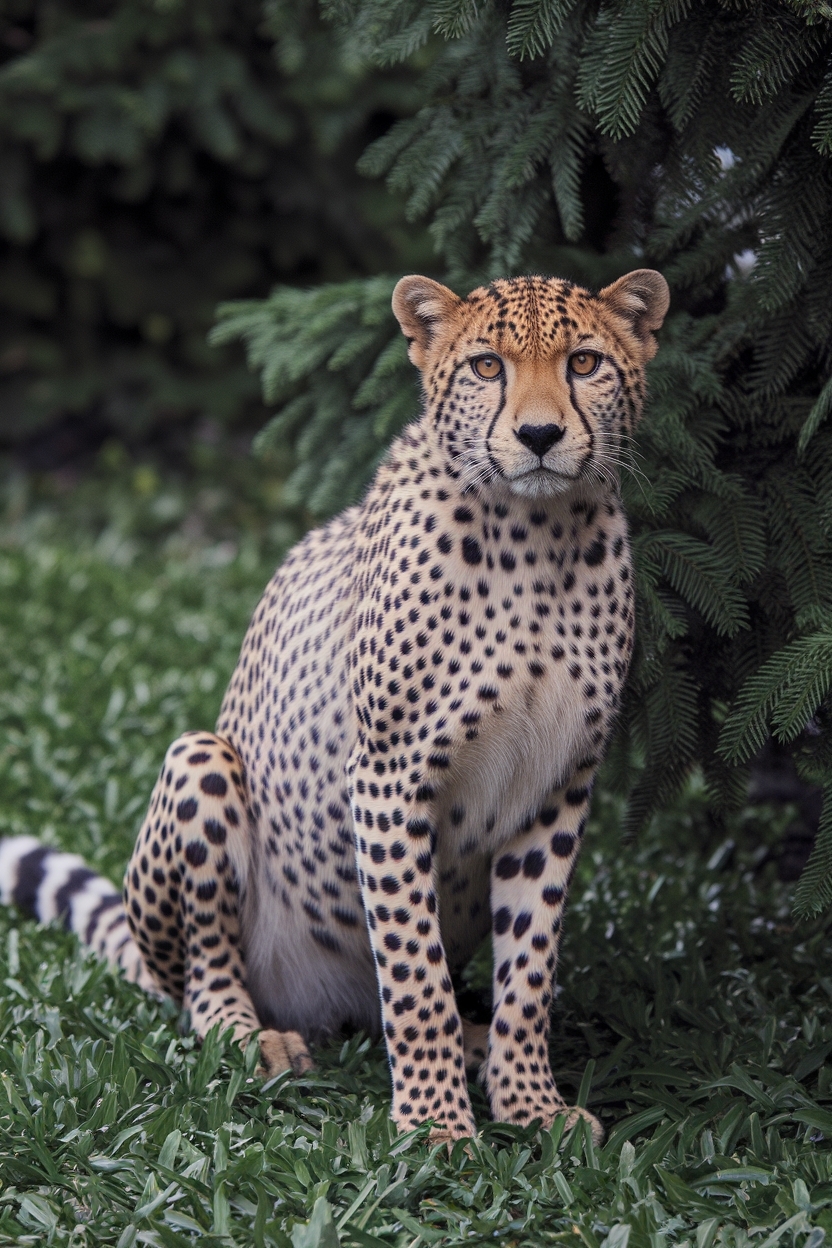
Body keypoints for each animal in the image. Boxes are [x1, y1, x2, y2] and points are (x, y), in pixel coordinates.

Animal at [0, 267, 669, 1145]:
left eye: (584, 362)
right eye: (487, 366)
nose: (538, 435)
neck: (539, 537)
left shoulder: (557, 787)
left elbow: (530, 966)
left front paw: (529, 1104)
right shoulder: (389, 775)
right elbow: (414, 972)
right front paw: (436, 1125)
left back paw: (478, 1040)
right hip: (201, 763)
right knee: (204, 970)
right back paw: (253, 1036)